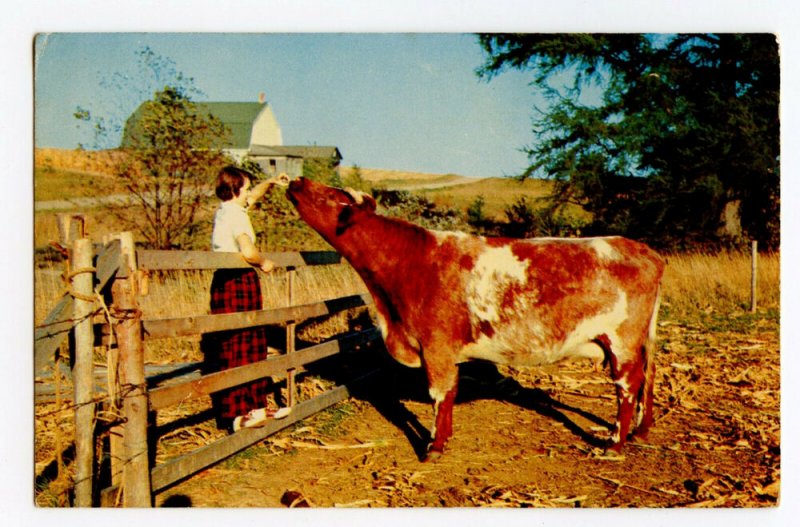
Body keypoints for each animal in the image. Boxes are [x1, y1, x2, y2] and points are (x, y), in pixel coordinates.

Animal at [286, 176, 664, 458]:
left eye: (332, 195)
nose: (296, 180)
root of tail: (645, 250)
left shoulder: (435, 345)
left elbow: (440, 393)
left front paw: (434, 446)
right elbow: (450, 392)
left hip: (622, 341)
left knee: (628, 385)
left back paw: (614, 443)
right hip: (639, 341)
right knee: (648, 376)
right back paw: (641, 432)